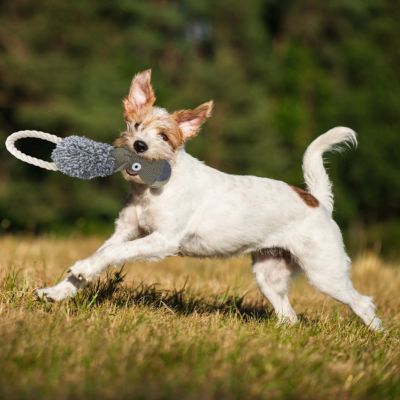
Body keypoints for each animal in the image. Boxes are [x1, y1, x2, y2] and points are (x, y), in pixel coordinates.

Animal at [36, 69, 382, 332]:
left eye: (164, 136)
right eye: (135, 125)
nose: (138, 145)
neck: (153, 187)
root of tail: (316, 201)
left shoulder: (162, 240)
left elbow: (114, 253)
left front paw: (79, 272)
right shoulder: (126, 230)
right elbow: (102, 254)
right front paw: (59, 290)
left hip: (325, 271)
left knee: (362, 302)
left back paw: (377, 337)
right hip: (269, 274)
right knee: (289, 315)